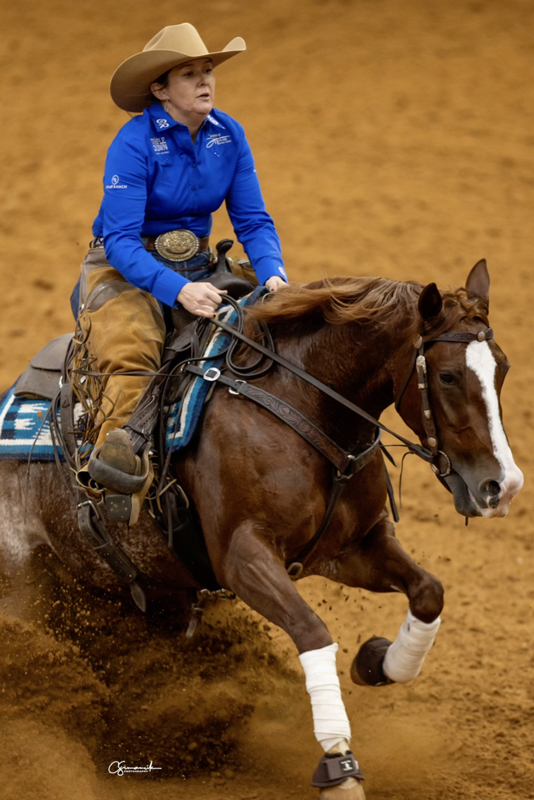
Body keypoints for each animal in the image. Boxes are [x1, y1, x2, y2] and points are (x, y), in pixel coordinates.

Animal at [0, 260, 524, 796]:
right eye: (448, 375)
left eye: (502, 368)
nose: (502, 487)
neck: (304, 405)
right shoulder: (243, 557)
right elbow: (312, 632)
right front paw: (340, 764)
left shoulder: (352, 548)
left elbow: (428, 592)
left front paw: (377, 661)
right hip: (22, 583)